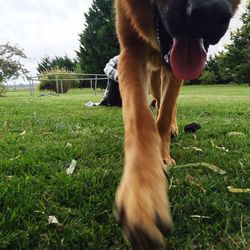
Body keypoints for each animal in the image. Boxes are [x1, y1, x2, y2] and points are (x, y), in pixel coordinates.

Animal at [114, 0, 240, 248]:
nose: (211, 12)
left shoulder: (175, 66)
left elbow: (164, 115)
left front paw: (162, 154)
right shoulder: (131, 52)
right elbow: (140, 118)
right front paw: (141, 190)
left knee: (167, 105)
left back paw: (172, 126)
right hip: (154, 74)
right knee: (157, 96)